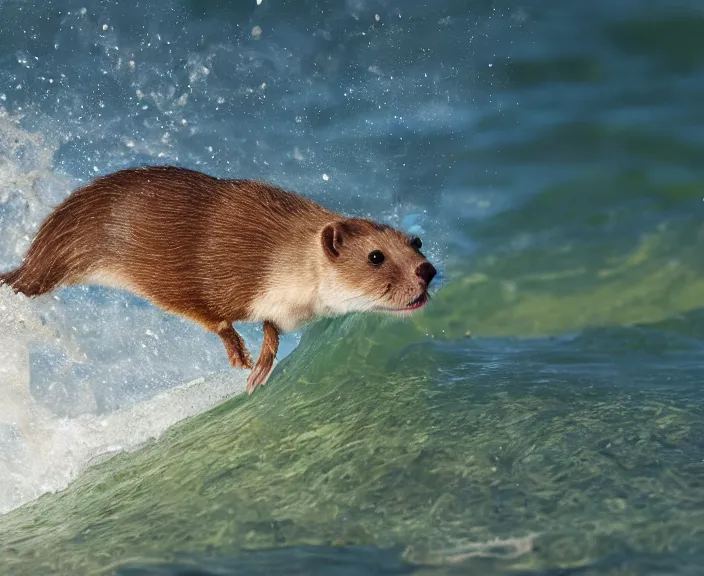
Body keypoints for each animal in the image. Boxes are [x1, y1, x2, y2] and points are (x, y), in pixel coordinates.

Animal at [1, 164, 434, 394]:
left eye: (416, 241)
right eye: (375, 256)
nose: (426, 271)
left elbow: (271, 330)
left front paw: (260, 367)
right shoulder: (193, 279)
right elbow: (213, 317)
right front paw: (240, 355)